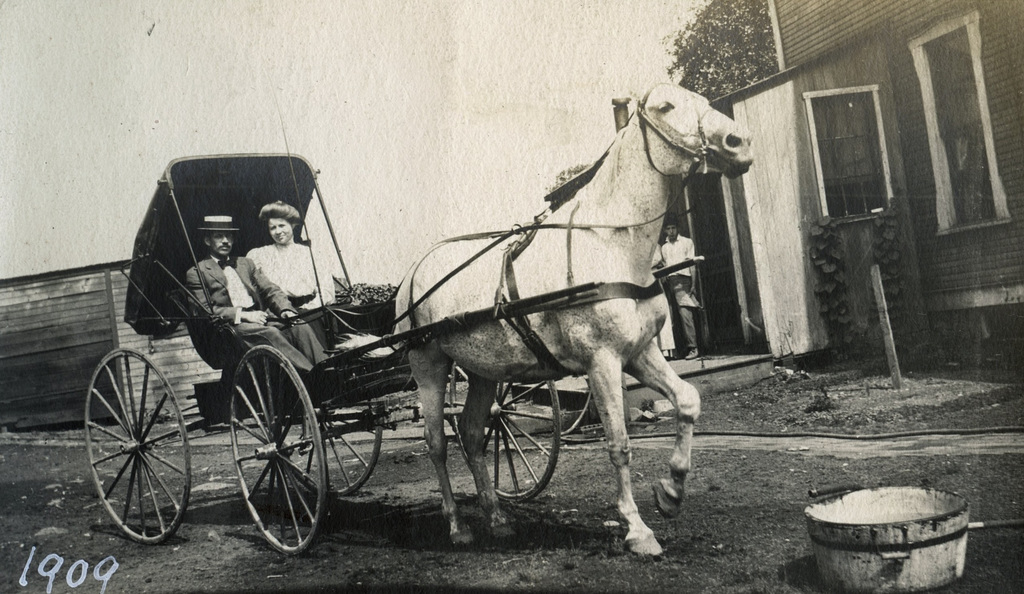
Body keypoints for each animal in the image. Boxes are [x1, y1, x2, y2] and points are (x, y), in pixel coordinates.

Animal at [395, 81, 757, 553]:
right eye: (666, 106)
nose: (739, 143)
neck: (611, 244)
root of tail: (412, 273)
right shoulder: (601, 362)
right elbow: (619, 443)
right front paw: (637, 529)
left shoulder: (640, 353)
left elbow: (688, 401)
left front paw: (671, 492)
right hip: (429, 365)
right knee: (437, 443)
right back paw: (458, 526)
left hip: (484, 372)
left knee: (473, 435)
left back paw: (497, 518)